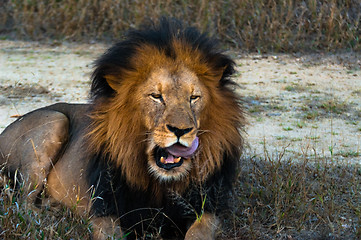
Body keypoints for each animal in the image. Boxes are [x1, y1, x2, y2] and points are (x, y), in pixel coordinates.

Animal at [0, 18, 245, 240]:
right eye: (156, 96)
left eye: (193, 98)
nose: (180, 130)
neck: (160, 183)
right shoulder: (103, 209)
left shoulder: (207, 207)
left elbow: (199, 231)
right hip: (55, 121)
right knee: (22, 203)